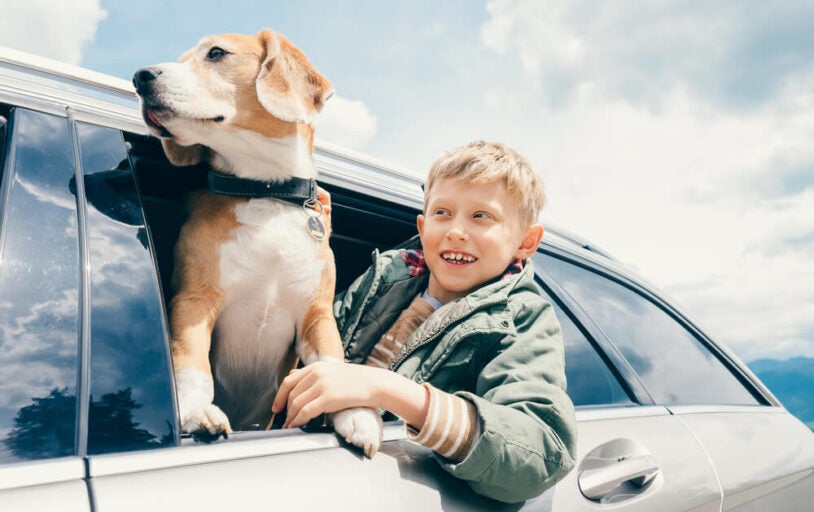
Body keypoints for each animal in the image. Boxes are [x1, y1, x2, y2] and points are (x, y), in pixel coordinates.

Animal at [135, 30, 386, 458]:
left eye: (216, 53)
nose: (140, 77)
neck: (267, 193)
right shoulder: (193, 301)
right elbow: (191, 362)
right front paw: (196, 411)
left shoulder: (316, 314)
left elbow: (332, 362)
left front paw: (356, 415)